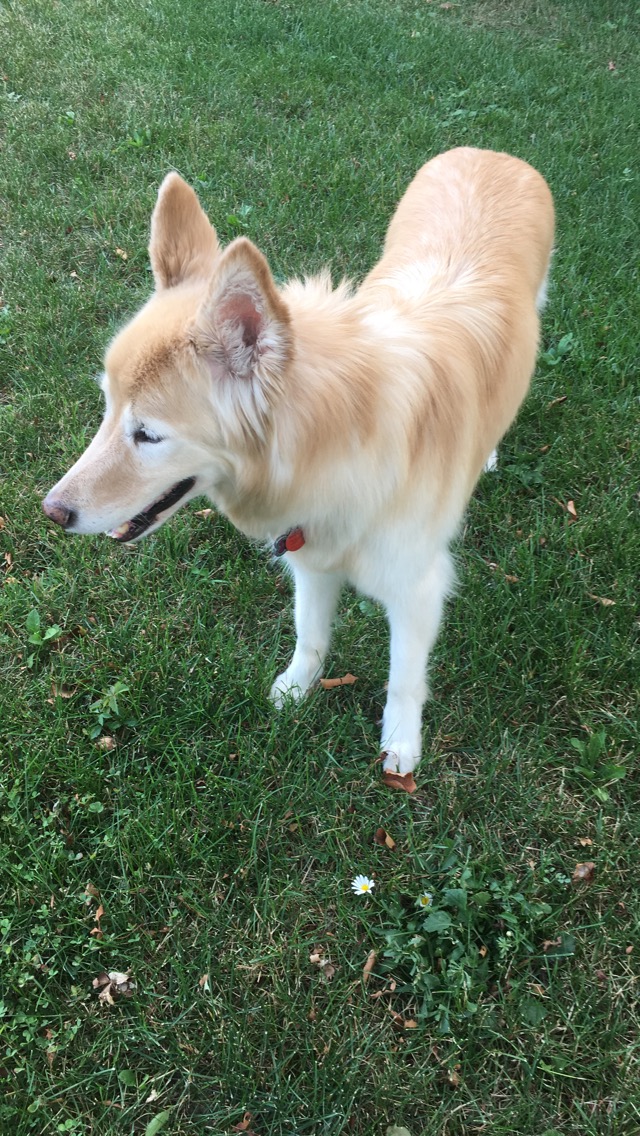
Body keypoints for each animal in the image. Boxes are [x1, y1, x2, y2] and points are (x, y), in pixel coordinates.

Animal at [43, 147, 554, 775]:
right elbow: (310, 637)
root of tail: (490, 153)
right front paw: (294, 690)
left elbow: (403, 679)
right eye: (107, 407)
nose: (52, 511)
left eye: (148, 435)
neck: (335, 447)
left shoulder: (418, 590)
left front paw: (400, 744)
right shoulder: (311, 560)